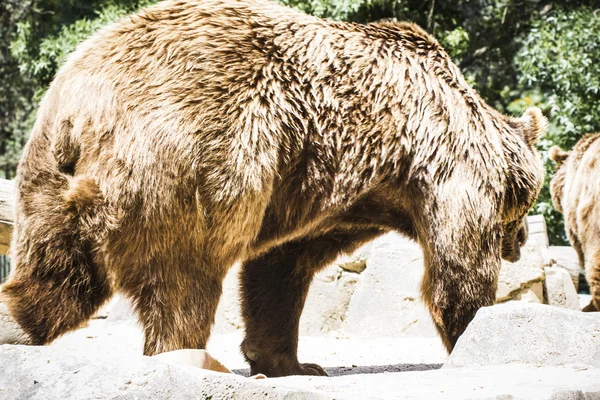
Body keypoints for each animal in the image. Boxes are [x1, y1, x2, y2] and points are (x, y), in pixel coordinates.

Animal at [0, 0, 544, 378]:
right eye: (523, 207)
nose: (520, 245)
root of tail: (83, 108)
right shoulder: (448, 170)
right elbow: (458, 270)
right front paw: (473, 334)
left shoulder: (326, 194)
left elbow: (281, 268)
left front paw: (291, 361)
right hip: (191, 163)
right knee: (183, 274)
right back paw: (186, 354)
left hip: (49, 181)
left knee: (57, 277)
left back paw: (14, 325)